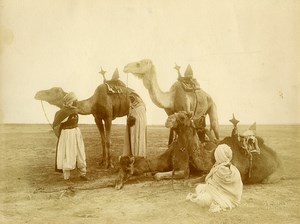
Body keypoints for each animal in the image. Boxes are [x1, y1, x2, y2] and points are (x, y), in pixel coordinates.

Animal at [115, 111, 284, 190]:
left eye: (183, 116)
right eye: (120, 167)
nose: (116, 184)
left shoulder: (185, 170)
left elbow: (188, 180)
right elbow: (156, 173)